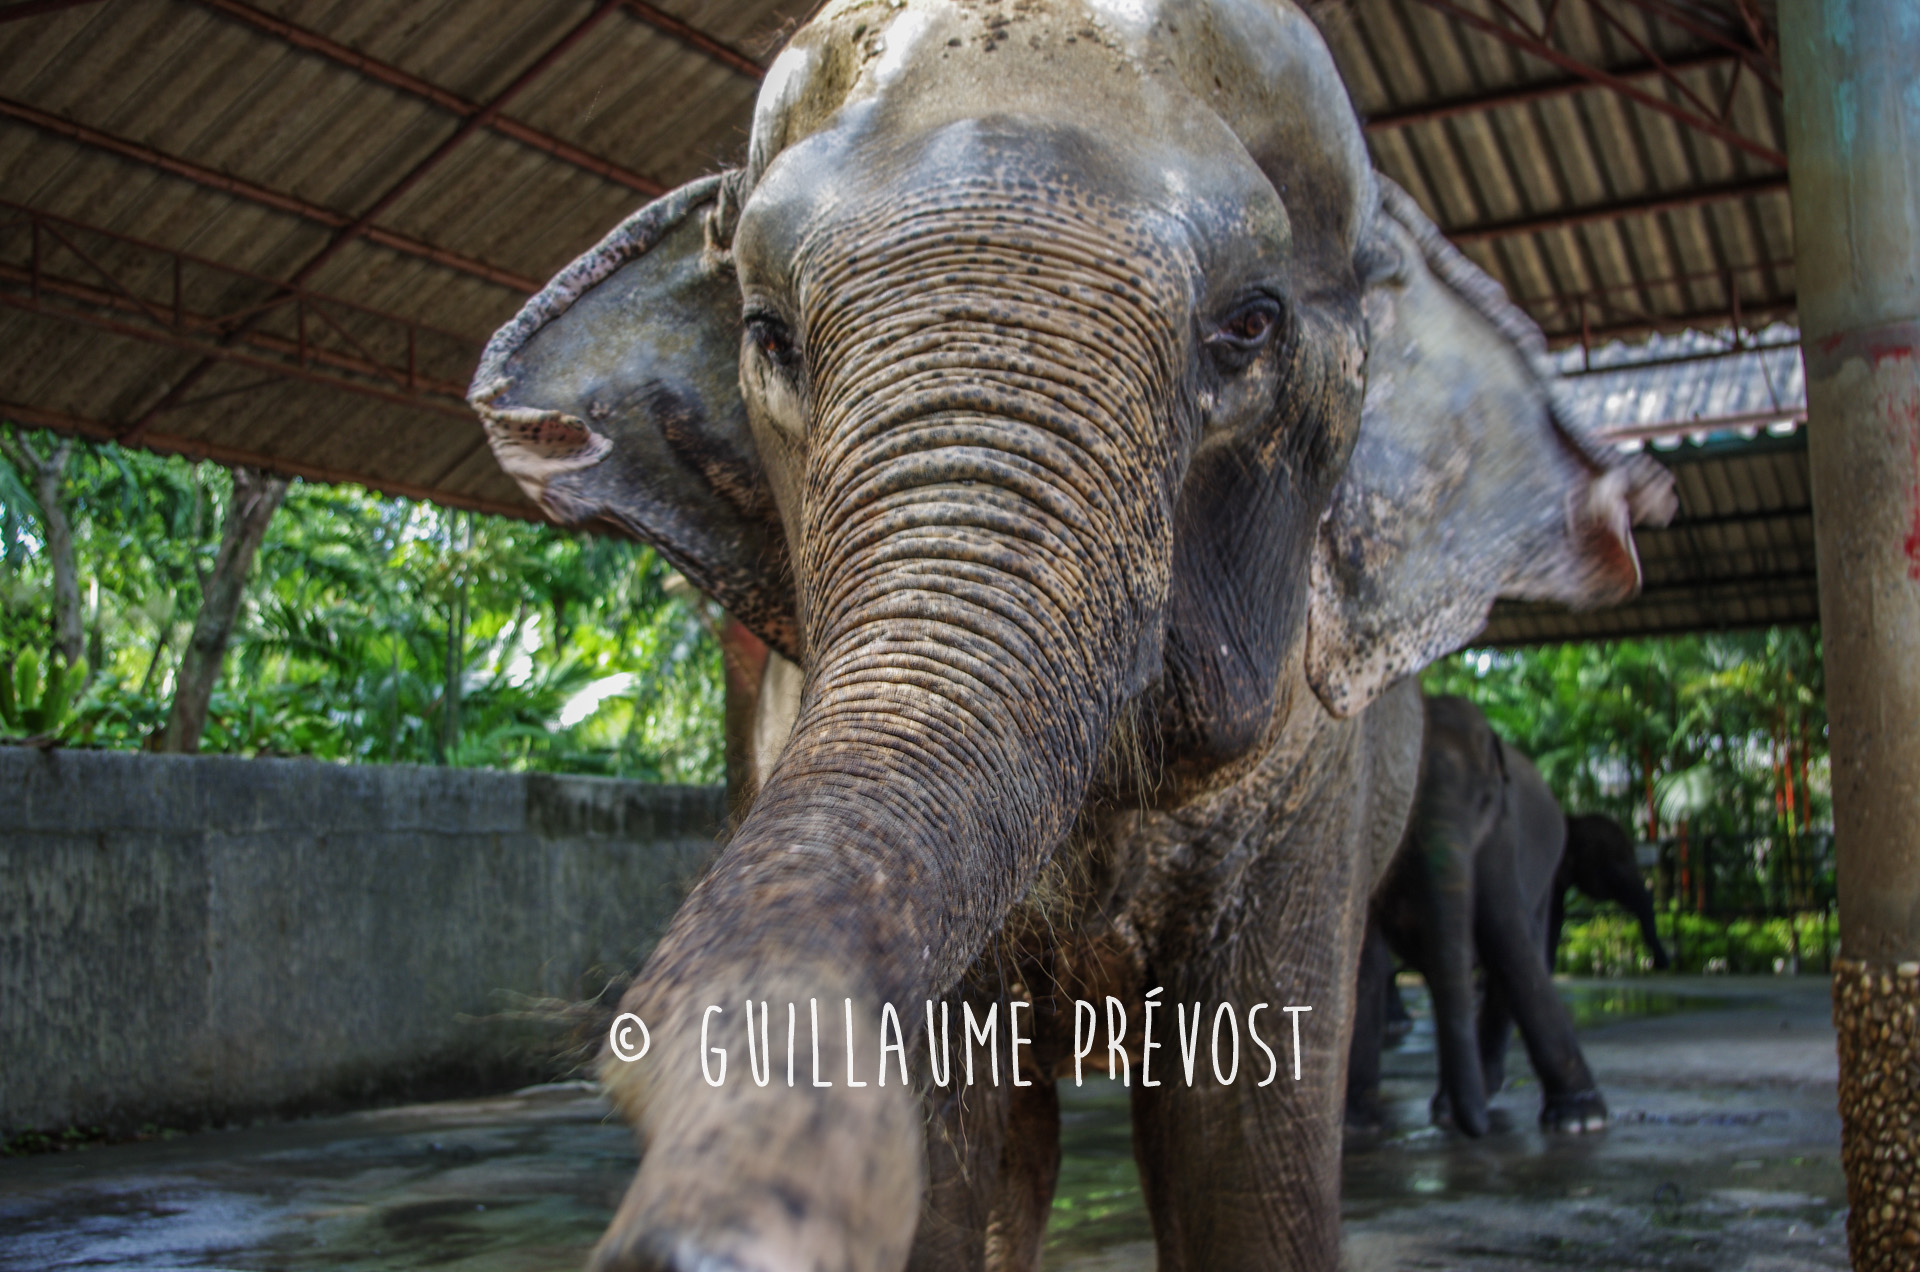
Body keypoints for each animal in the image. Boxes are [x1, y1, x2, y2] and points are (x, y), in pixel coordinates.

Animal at [1346, 696, 1610, 1139]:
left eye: (1485, 801)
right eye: (1399, 808)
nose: (1478, 1130)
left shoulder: (1501, 835)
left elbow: (1508, 938)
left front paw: (1580, 1120)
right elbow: (1363, 956)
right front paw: (1356, 1125)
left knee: (1518, 952)